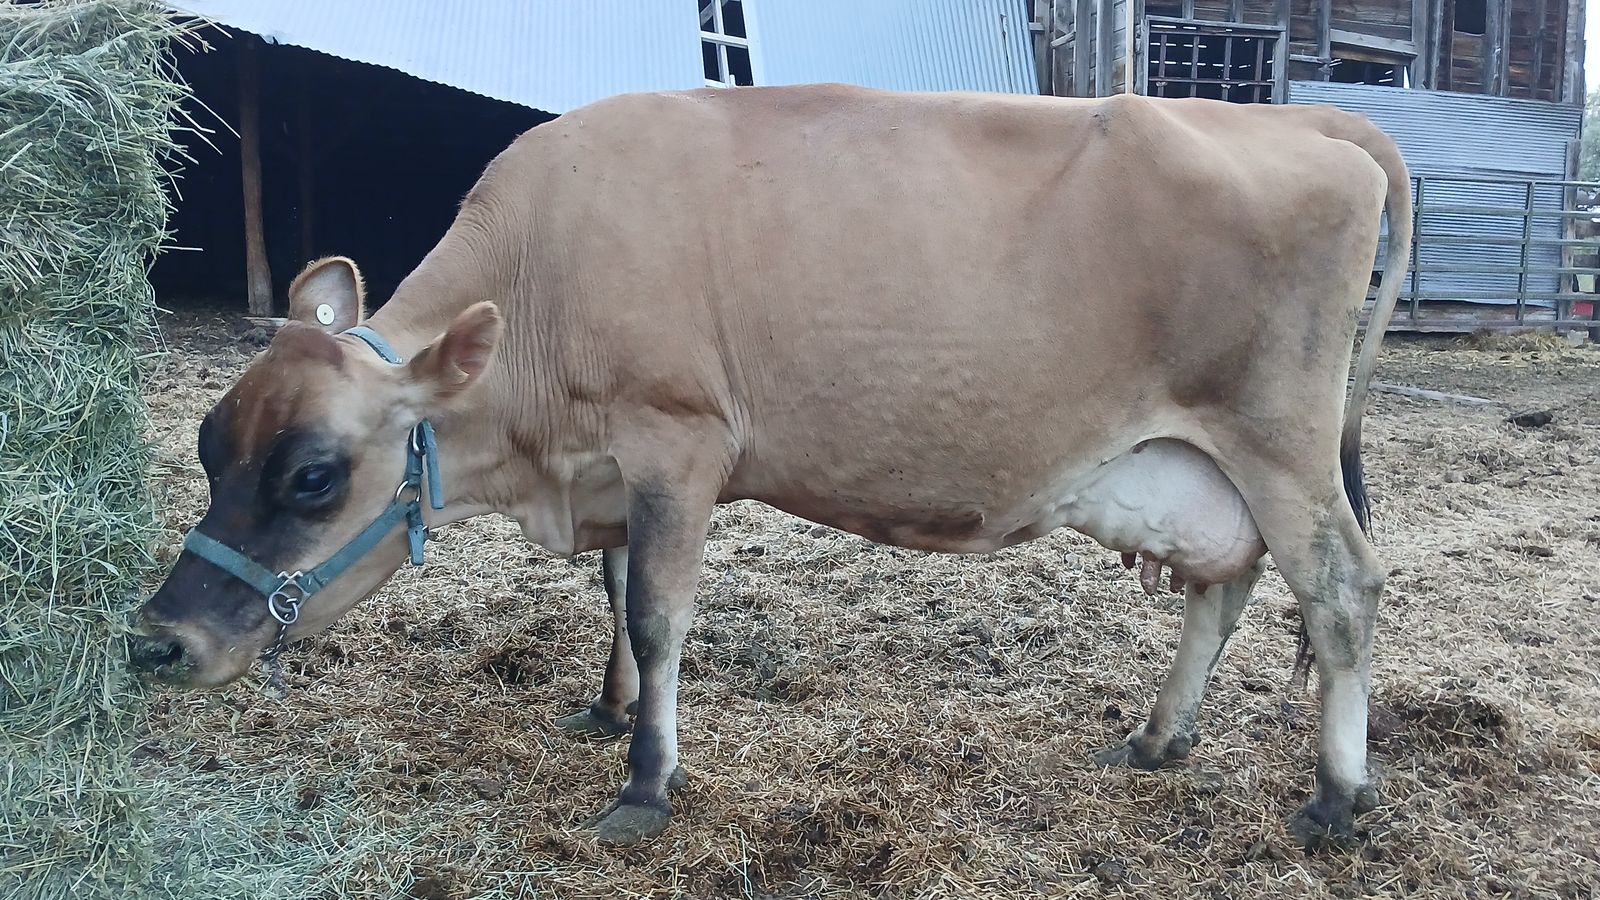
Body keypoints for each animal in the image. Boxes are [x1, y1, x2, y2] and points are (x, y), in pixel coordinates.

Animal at [128, 84, 1412, 850]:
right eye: (209, 444)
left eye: (313, 477)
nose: (158, 643)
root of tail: (1308, 122)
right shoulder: (616, 467)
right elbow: (612, 592)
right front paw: (604, 711)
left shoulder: (678, 437)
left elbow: (656, 613)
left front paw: (644, 784)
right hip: (1206, 460)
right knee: (1228, 583)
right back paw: (1156, 738)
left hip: (1278, 438)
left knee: (1340, 590)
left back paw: (1336, 798)